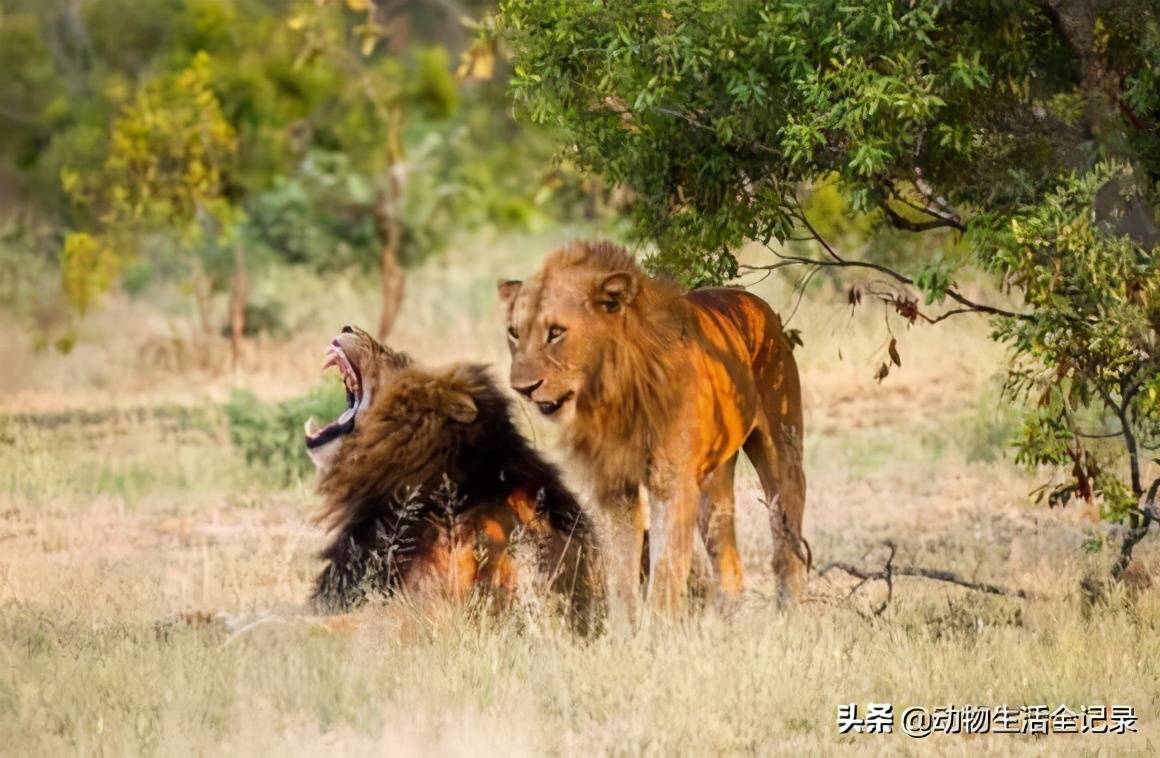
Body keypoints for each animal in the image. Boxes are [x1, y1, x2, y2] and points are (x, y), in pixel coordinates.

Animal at [498, 242, 807, 612]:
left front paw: (658, 626)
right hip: (713, 483)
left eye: (556, 332)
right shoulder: (612, 488)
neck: (610, 394)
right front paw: (623, 629)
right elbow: (620, 577)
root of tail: (754, 302)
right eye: (514, 333)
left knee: (787, 539)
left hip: (781, 454)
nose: (522, 388)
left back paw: (789, 611)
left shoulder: (671, 483)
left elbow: (666, 573)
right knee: (728, 562)